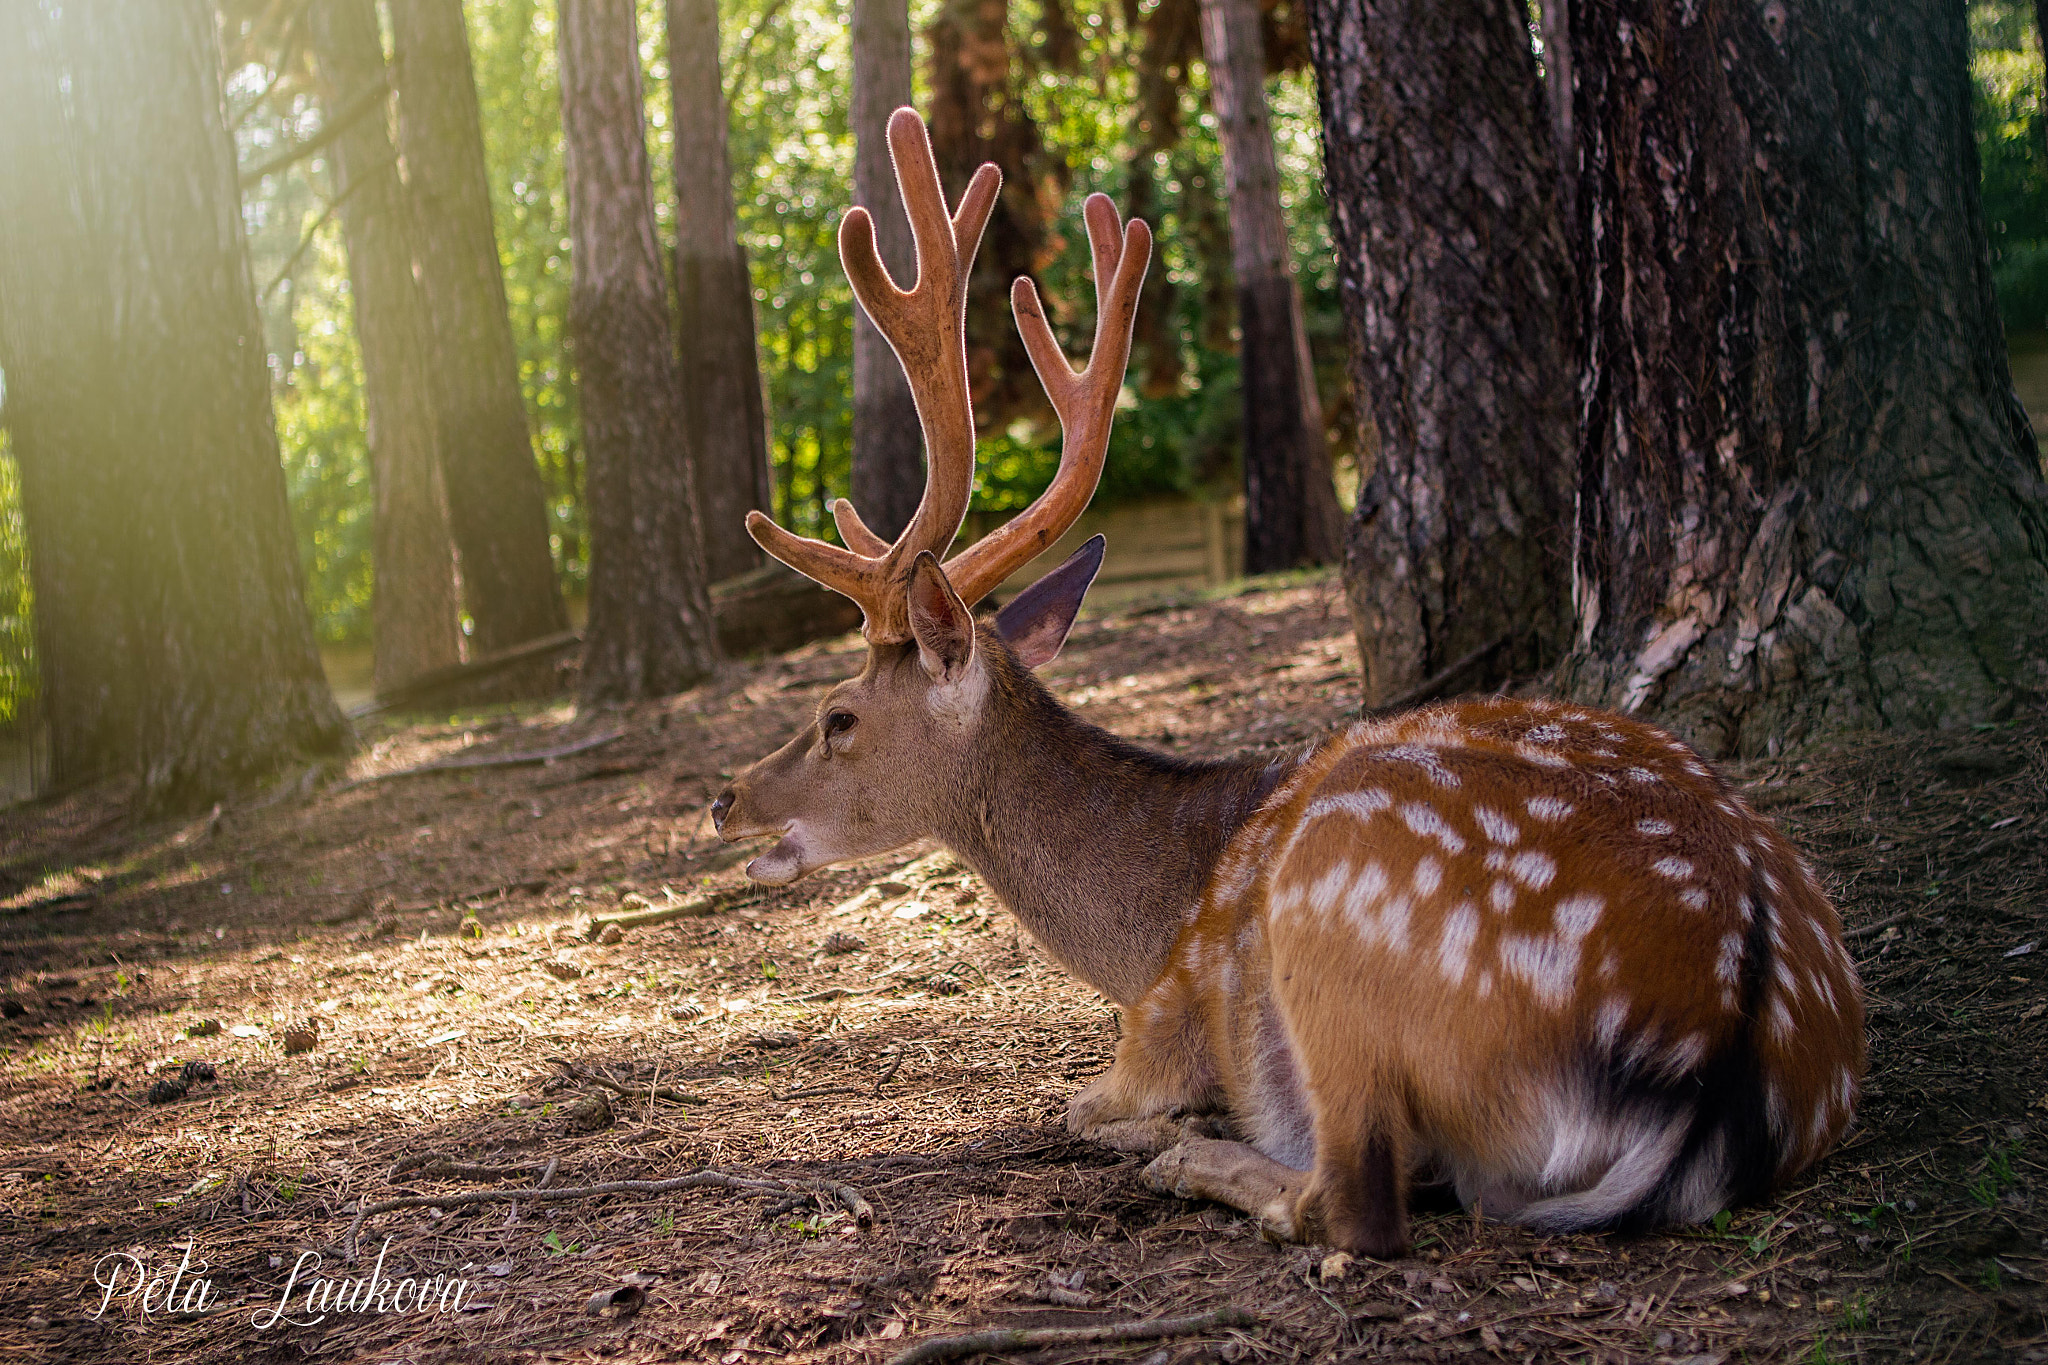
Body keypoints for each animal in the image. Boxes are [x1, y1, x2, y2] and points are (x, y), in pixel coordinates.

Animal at [708, 106, 1875, 1260]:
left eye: (838, 716)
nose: (724, 795)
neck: (1146, 928)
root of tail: (1723, 1042)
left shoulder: (1158, 1020)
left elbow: (1081, 1104)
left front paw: (1160, 1127)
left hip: (1334, 908)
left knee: (1353, 1197)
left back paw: (1196, 1154)